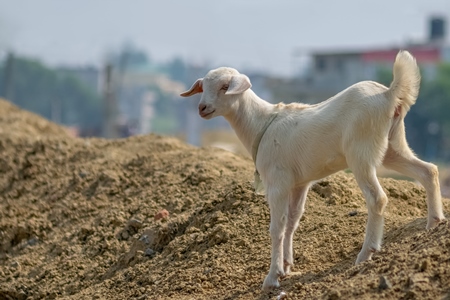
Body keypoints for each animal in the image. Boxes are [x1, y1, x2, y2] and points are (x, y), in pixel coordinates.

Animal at [180, 51, 446, 290]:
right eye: (203, 87)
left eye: (225, 86)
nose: (202, 108)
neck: (261, 124)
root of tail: (389, 94)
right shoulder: (299, 183)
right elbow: (292, 220)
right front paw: (287, 266)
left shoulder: (277, 183)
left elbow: (277, 227)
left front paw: (272, 278)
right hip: (394, 144)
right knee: (428, 171)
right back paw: (434, 223)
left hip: (361, 152)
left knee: (377, 198)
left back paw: (366, 253)